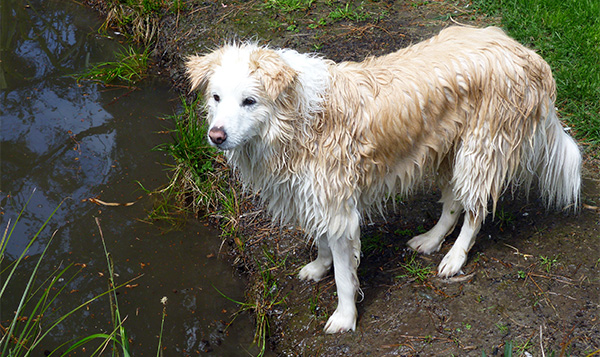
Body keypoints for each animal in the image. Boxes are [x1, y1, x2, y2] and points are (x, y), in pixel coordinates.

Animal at [186, 26, 580, 332]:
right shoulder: (317, 195)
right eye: (216, 97)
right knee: (454, 202)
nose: (216, 136)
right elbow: (323, 242)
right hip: (448, 149)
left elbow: (344, 276)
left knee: (475, 210)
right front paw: (319, 266)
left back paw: (454, 258)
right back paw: (431, 240)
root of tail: (524, 52)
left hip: (480, 151)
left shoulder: (337, 203)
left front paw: (345, 317)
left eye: (249, 101)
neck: (296, 120)